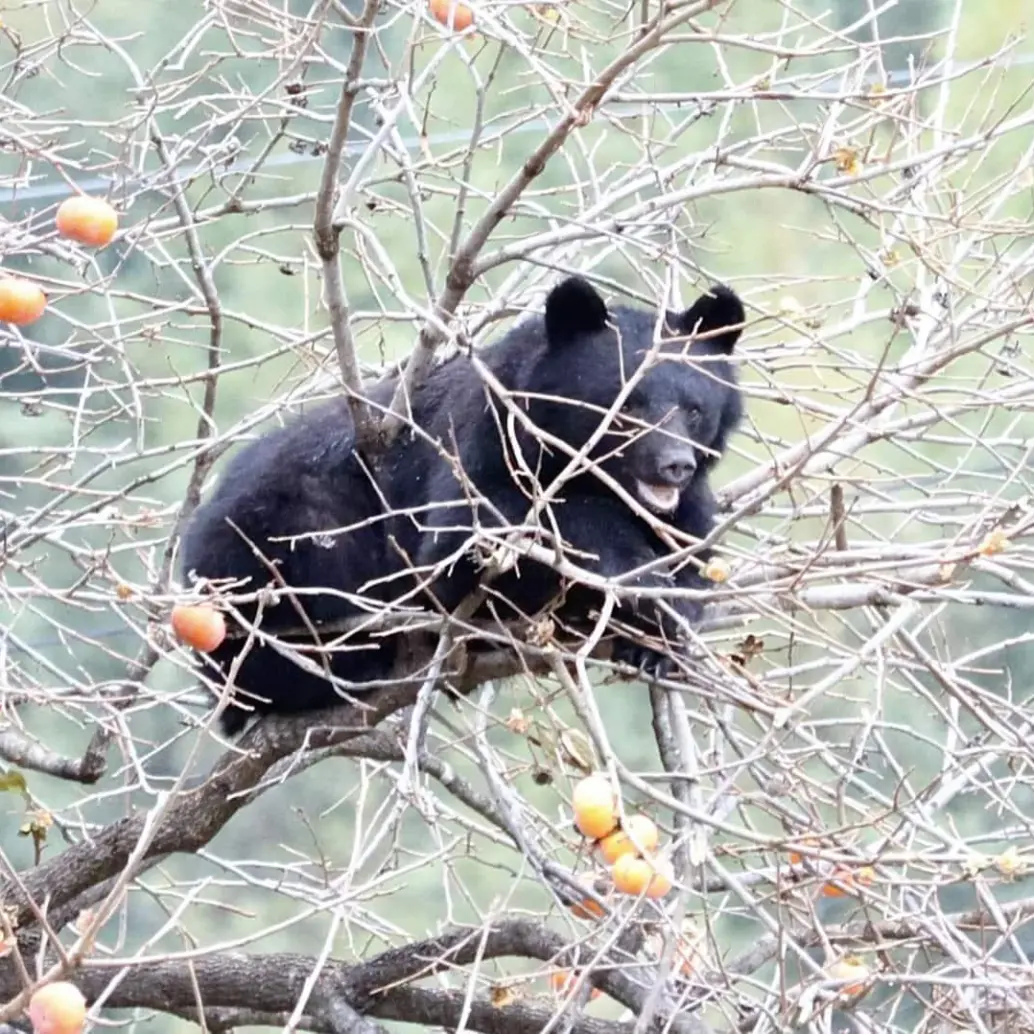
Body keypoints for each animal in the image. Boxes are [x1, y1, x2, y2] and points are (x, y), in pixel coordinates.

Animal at [380, 275, 745, 676]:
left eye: (694, 410)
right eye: (627, 407)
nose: (675, 464)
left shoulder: (688, 506)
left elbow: (692, 554)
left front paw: (658, 640)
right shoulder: (484, 435)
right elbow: (458, 537)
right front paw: (642, 577)